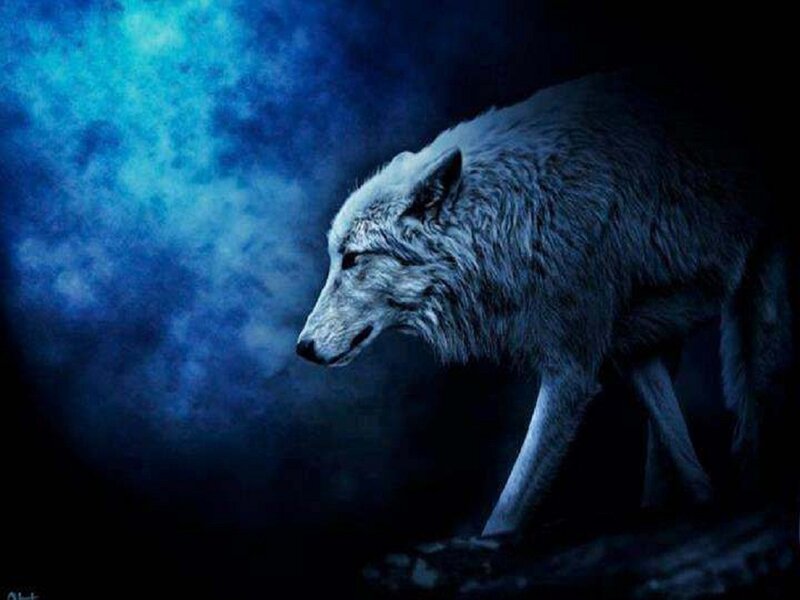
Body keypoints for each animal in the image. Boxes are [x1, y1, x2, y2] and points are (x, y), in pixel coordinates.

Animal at [297, 72, 794, 536]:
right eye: (334, 257)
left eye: (353, 259)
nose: (301, 347)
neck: (510, 215)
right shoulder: (628, 350)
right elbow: (679, 446)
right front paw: (701, 503)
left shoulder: (572, 374)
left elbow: (509, 508)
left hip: (759, 303)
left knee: (756, 405)